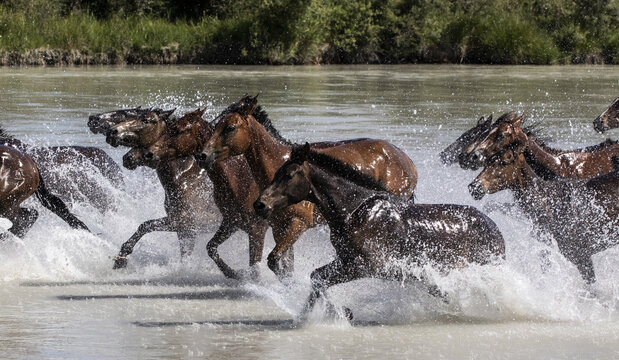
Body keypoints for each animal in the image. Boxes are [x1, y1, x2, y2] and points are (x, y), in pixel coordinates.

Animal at [199, 94, 422, 278]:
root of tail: (407, 160)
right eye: (216, 125)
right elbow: (283, 263)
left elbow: (273, 260)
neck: (276, 165)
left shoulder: (299, 223)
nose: (203, 155)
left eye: (230, 127)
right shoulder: (278, 227)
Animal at [254, 144, 506, 320]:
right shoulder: (347, 259)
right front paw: (331, 313)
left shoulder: (367, 265)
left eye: (289, 175)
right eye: (276, 173)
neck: (354, 210)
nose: (260, 204)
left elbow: (320, 279)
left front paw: (338, 313)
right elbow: (317, 277)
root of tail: (494, 228)